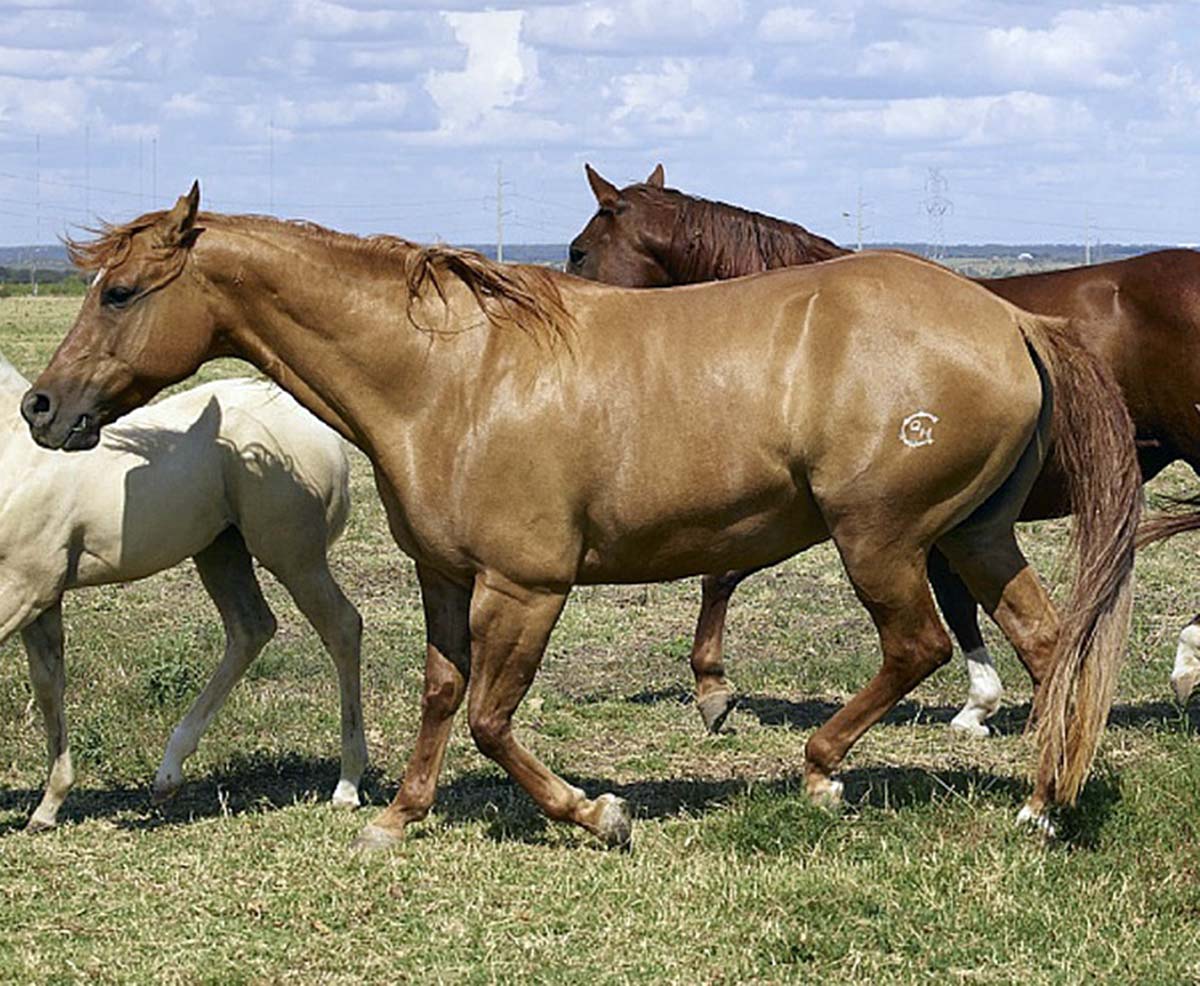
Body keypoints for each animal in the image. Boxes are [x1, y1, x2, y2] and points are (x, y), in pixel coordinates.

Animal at [1, 359, 364, 830]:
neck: (16, 454)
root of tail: (322, 432)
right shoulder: (41, 596)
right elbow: (48, 685)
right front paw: (48, 807)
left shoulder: (25, 587)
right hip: (220, 550)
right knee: (251, 628)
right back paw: (168, 774)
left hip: (293, 556)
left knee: (342, 627)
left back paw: (348, 785)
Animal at [568, 167, 1200, 738]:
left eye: (578, 252)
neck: (805, 323)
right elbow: (962, 598)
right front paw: (983, 704)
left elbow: (720, 574)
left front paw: (712, 686)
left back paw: (1187, 661)